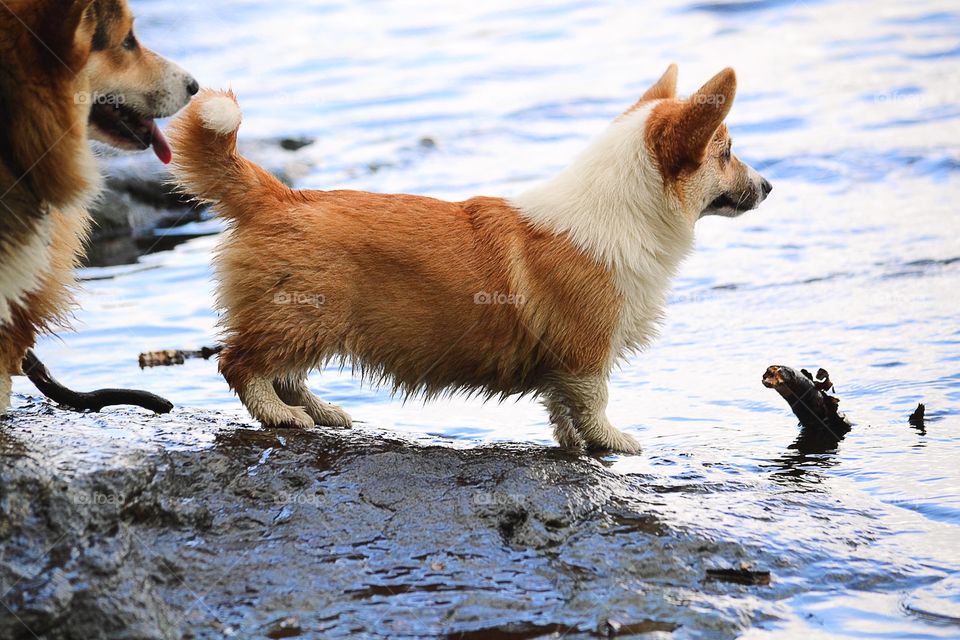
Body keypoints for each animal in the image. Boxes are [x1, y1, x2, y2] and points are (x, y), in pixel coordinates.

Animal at [169, 65, 772, 452]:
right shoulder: (586, 351)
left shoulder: (564, 366)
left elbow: (563, 410)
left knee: (284, 373)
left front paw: (575, 447)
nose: (769, 187)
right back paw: (283, 416)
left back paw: (320, 412)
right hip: (303, 316)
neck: (623, 210)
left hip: (309, 323)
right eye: (726, 152)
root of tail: (278, 195)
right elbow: (594, 401)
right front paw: (615, 442)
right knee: (239, 364)